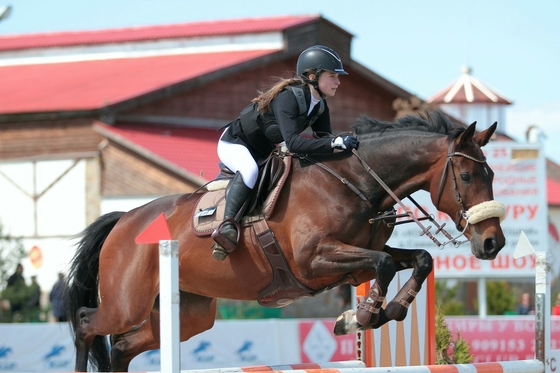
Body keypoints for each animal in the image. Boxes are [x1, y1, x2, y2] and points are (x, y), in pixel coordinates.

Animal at [66, 112, 508, 370]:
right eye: (466, 176)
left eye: (492, 176)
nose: (493, 244)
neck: (356, 183)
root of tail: (124, 220)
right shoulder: (315, 262)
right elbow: (385, 265)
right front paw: (362, 317)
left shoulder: (356, 260)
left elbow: (418, 259)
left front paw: (383, 311)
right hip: (127, 303)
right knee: (89, 324)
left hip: (188, 314)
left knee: (123, 346)